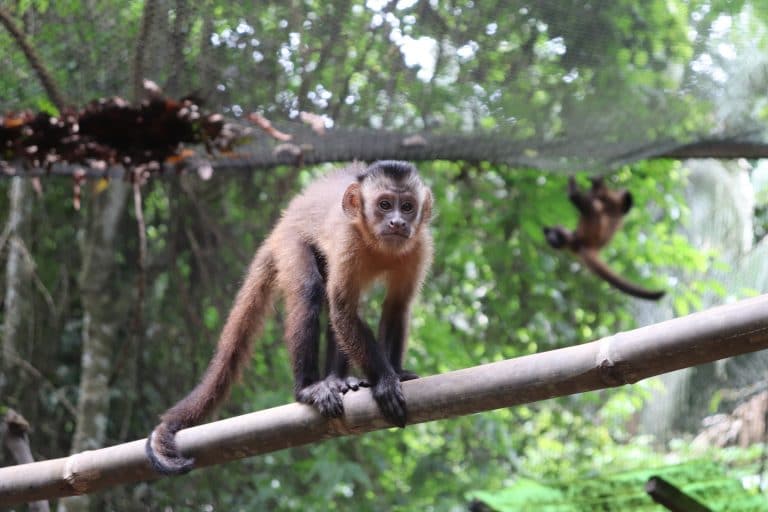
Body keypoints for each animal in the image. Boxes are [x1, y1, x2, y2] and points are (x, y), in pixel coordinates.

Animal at [146, 160, 433, 475]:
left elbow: (395, 306)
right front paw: (384, 381)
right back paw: (308, 389)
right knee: (311, 290)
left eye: (407, 207)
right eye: (384, 205)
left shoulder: (419, 246)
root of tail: (282, 222)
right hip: (289, 243)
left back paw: (337, 379)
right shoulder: (349, 240)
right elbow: (342, 309)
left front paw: (396, 372)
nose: (397, 222)